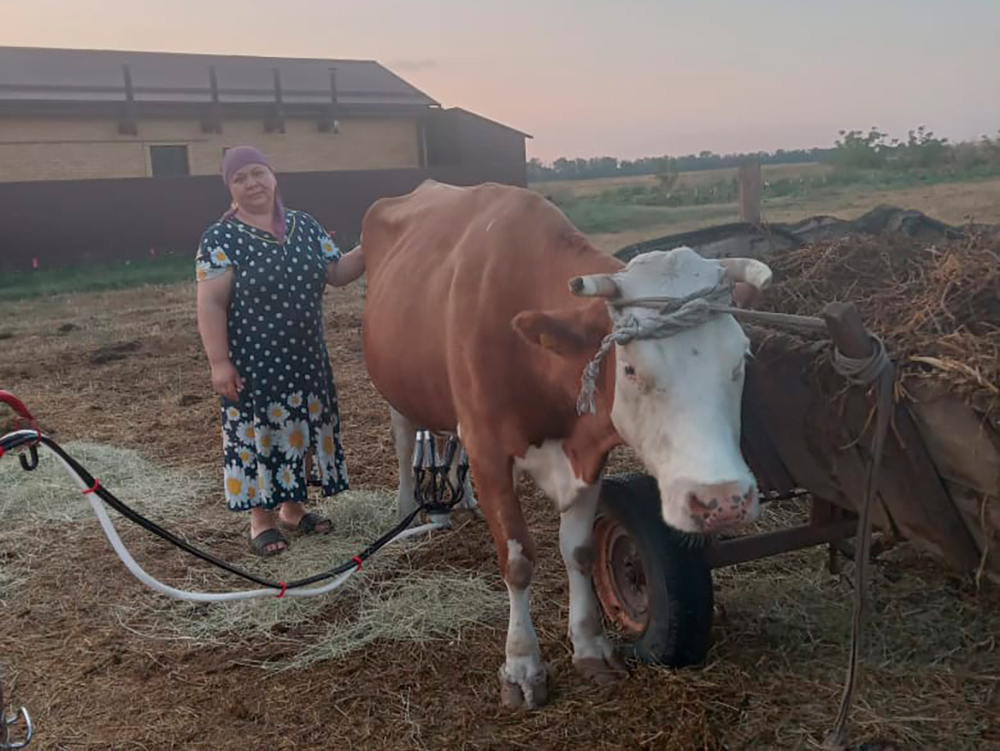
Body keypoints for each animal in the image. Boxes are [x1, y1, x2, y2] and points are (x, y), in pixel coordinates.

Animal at [362, 179, 772, 708]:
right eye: (632, 369)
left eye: (741, 357)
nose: (722, 501)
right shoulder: (490, 451)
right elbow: (517, 561)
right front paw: (522, 665)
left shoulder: (589, 454)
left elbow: (577, 550)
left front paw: (590, 646)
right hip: (396, 388)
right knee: (402, 439)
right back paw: (407, 508)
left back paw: (465, 499)